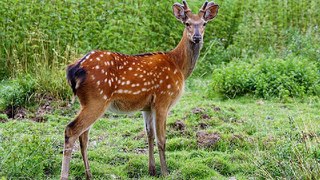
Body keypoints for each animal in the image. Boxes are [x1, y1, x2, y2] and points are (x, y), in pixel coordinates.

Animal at [61, 0, 219, 179]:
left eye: (204, 23)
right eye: (187, 23)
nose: (197, 37)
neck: (179, 65)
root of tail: (74, 68)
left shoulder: (147, 107)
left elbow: (149, 135)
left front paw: (152, 170)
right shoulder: (163, 99)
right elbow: (162, 139)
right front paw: (165, 172)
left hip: (86, 102)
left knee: (84, 135)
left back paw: (89, 175)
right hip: (97, 99)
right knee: (71, 130)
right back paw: (65, 175)